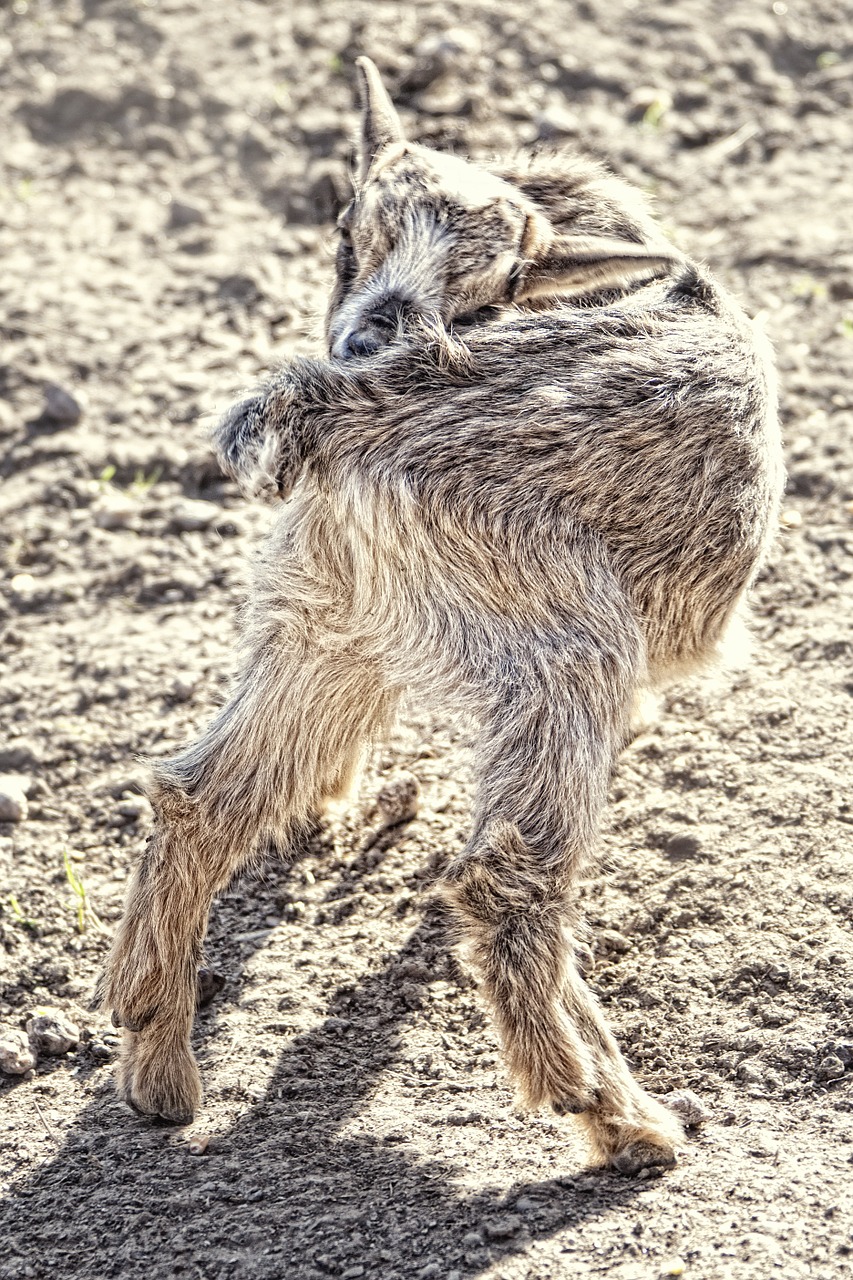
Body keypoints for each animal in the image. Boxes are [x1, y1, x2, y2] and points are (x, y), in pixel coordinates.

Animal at [96, 62, 778, 1177]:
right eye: (349, 234)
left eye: (490, 286)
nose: (370, 334)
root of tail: (345, 412)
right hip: (561, 643)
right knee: (507, 880)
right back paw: (616, 1113)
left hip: (324, 618)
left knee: (201, 798)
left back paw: (157, 1064)